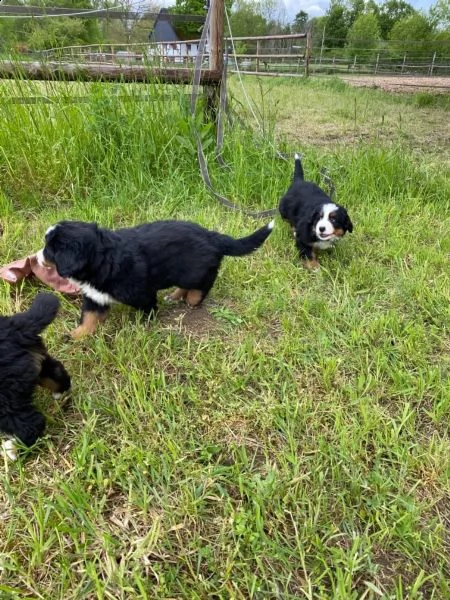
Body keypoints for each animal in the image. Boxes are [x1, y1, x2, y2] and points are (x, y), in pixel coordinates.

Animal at [0, 292, 71, 462]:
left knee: (31, 424)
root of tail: (15, 328)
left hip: (5, 396)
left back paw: (12, 450)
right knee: (56, 372)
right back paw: (60, 393)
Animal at [36, 218, 274, 338]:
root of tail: (211, 235)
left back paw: (192, 300)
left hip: (193, 272)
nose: (37, 257)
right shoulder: (96, 297)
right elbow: (89, 318)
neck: (101, 260)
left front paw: (143, 326)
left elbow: (148, 310)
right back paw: (175, 296)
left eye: (49, 250)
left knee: (204, 283)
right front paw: (76, 335)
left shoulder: (143, 293)